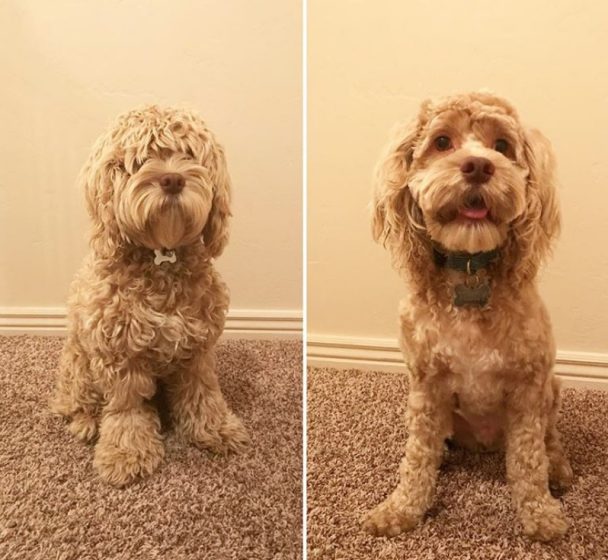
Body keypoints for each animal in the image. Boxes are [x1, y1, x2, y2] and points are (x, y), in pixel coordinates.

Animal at [50, 106, 249, 486]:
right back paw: (85, 423)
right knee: (73, 401)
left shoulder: (197, 347)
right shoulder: (119, 353)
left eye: (188, 155)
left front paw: (215, 429)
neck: (161, 257)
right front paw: (125, 453)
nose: (172, 180)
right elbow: (127, 408)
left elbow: (203, 391)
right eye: (140, 161)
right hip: (78, 362)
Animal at [366, 93, 576, 544]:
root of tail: (484, 446)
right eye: (442, 141)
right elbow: (417, 455)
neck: (469, 270)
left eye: (503, 146)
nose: (479, 166)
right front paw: (400, 509)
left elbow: (529, 459)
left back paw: (559, 468)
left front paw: (541, 514)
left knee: (550, 436)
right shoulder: (426, 385)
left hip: (553, 386)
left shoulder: (529, 384)